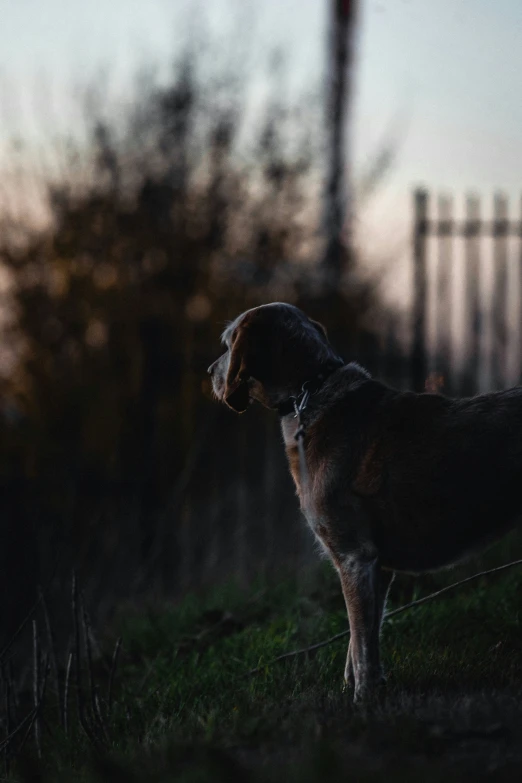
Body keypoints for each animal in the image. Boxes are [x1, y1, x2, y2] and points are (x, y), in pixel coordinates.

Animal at [207, 302, 520, 704]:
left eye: (228, 343)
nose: (209, 372)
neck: (311, 390)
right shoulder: (377, 566)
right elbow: (361, 640)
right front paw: (356, 690)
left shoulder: (355, 556)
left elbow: (361, 646)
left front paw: (363, 702)